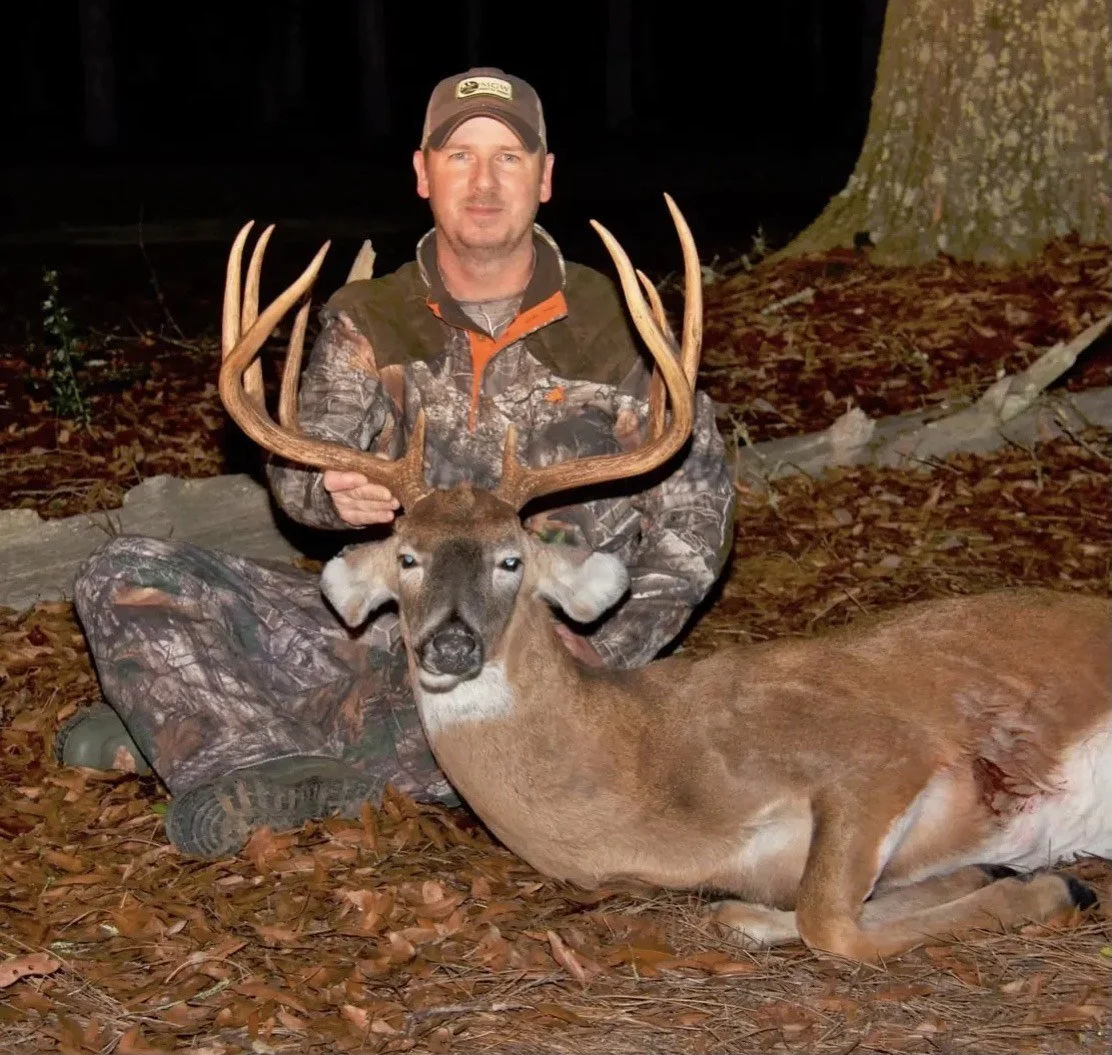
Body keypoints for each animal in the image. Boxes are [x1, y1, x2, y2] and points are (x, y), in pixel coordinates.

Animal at [217, 199, 1111, 963]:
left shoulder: (881, 752)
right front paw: (1004, 872)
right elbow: (765, 910)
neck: (653, 785)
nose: (452, 644)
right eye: (407, 556)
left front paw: (1046, 888)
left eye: (512, 557)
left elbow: (828, 919)